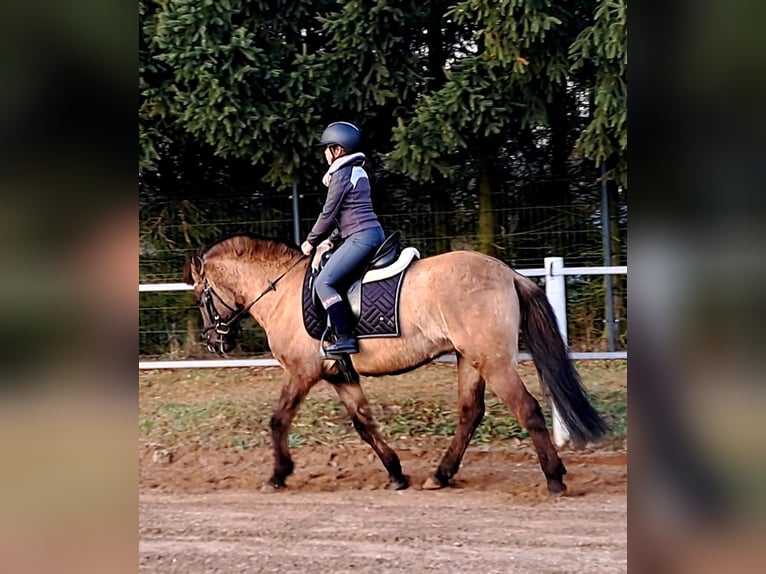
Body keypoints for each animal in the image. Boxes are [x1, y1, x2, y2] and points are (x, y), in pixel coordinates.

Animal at [182, 233, 607, 493]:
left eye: (202, 296)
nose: (215, 342)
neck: (281, 292)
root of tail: (507, 273)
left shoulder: (302, 372)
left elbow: (278, 420)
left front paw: (278, 475)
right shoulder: (340, 375)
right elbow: (364, 423)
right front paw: (396, 473)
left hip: (494, 361)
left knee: (527, 409)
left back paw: (554, 478)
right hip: (471, 360)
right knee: (470, 413)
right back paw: (440, 475)